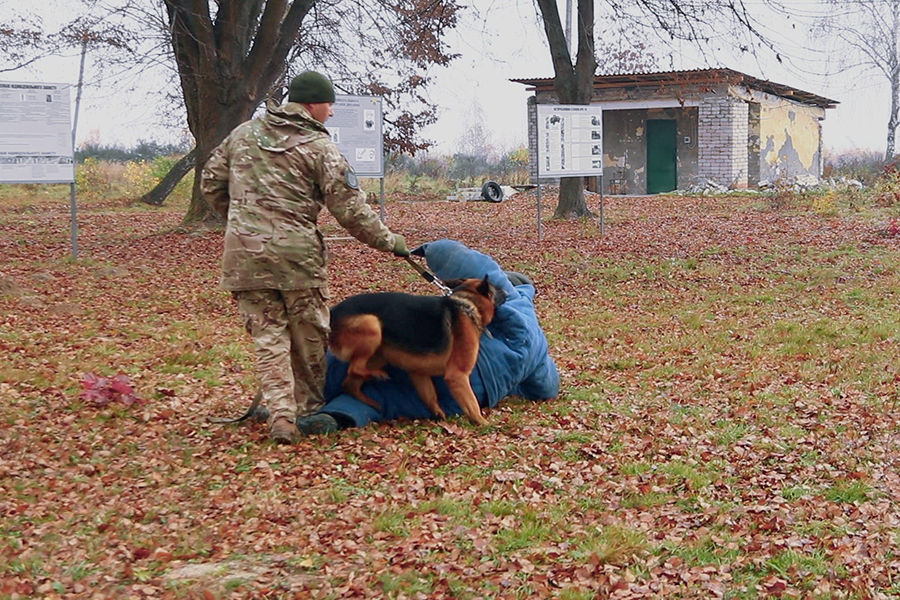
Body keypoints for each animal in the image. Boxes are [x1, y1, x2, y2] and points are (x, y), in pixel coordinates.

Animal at [328, 276, 510, 426]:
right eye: (496, 288)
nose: (507, 291)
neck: (467, 305)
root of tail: (331, 314)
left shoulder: (418, 373)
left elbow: (431, 397)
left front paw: (439, 414)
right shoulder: (457, 375)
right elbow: (472, 403)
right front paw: (483, 423)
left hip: (379, 354)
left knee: (349, 383)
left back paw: (373, 400)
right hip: (372, 325)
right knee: (355, 368)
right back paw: (377, 375)